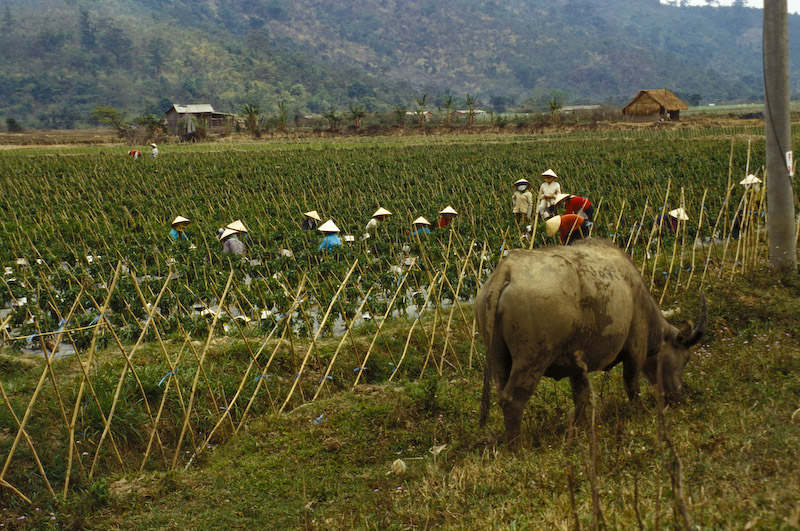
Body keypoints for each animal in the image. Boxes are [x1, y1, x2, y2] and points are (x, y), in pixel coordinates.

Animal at [476, 240, 708, 448]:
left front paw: (579, 429)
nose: (677, 397)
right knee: (512, 400)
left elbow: (581, 396)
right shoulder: (636, 349)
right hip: (533, 359)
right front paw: (641, 412)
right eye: (685, 359)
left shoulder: (577, 366)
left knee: (502, 394)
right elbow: (631, 384)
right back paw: (518, 449)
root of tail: (508, 270)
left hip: (499, 359)